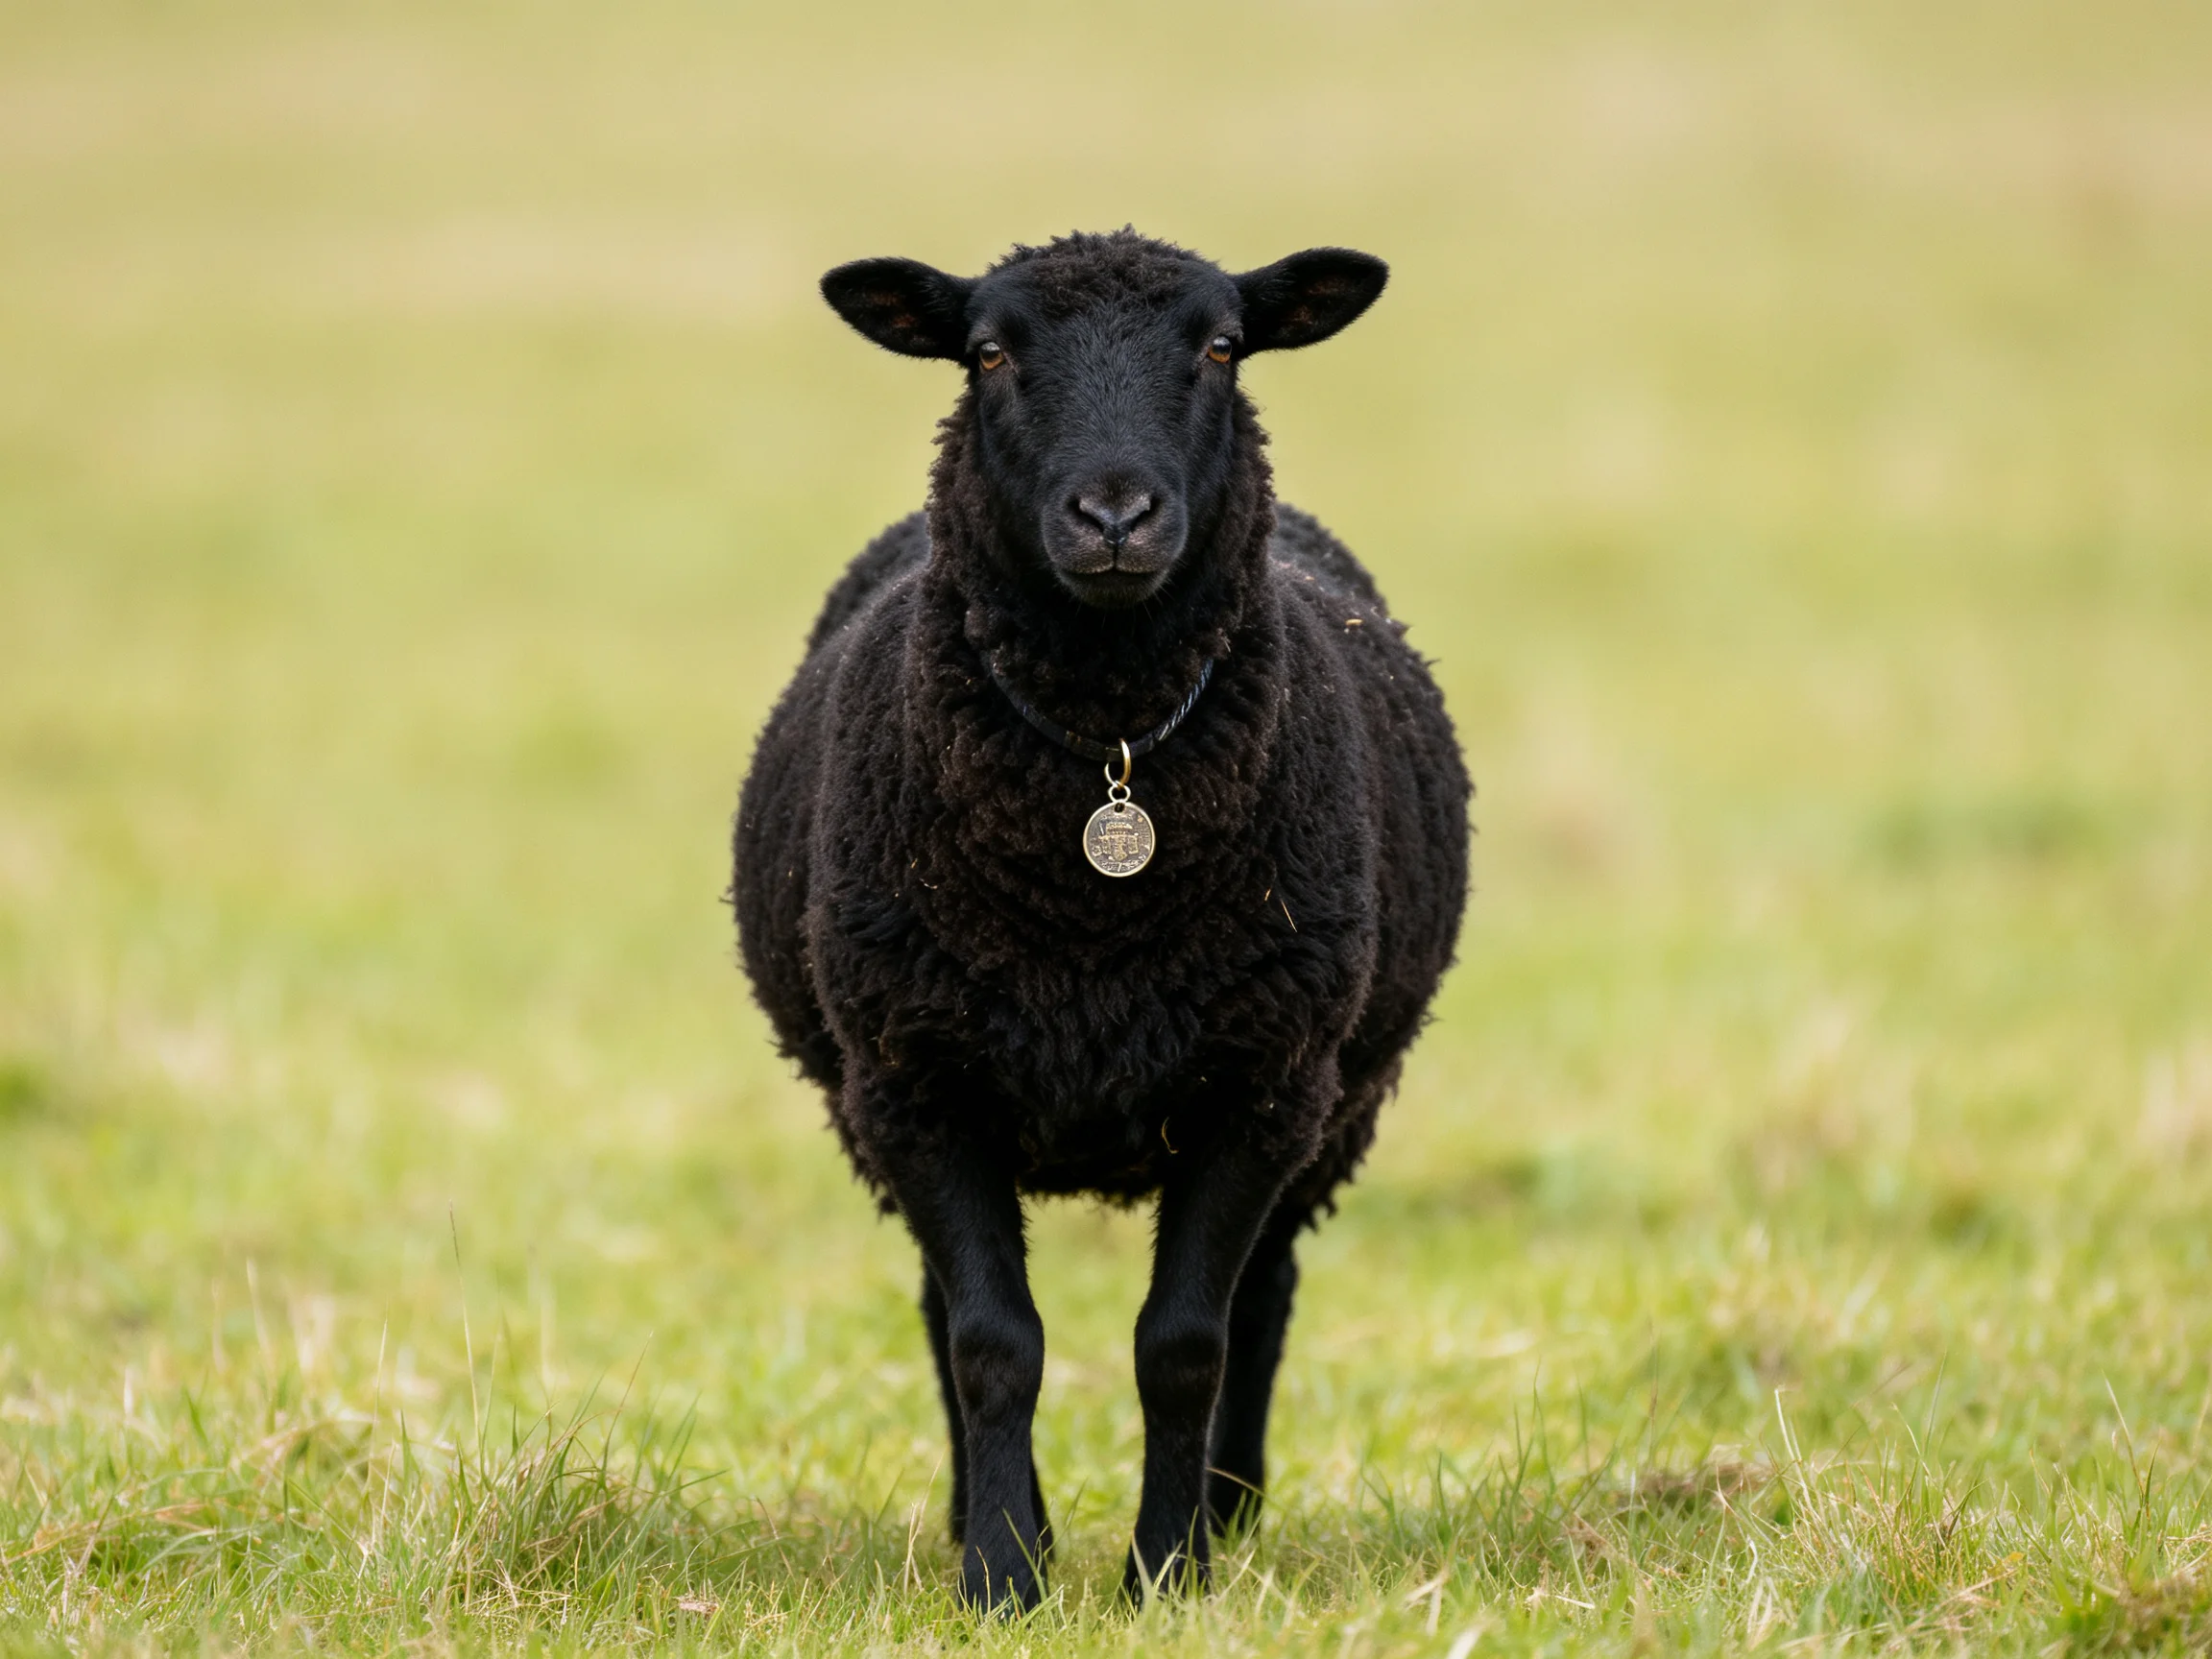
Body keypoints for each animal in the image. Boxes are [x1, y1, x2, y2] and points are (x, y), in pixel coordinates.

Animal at [731, 229, 1470, 1610]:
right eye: (988, 353)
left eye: (1222, 347)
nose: (1116, 517)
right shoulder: (918, 1083)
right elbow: (990, 1343)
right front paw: (1001, 1576)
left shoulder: (1260, 1085)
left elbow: (1185, 1344)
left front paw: (1167, 1572)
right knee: (943, 1310)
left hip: (1334, 1102)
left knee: (1265, 1295)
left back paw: (1231, 1513)